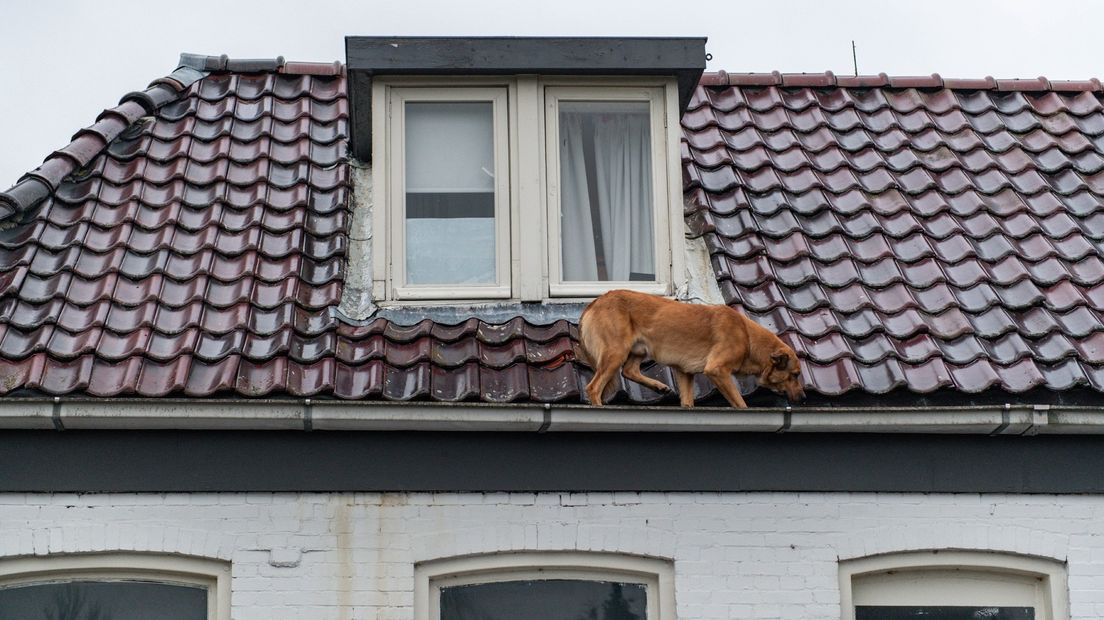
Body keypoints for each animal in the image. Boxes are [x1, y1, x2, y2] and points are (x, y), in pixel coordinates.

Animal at [578, 289, 803, 408]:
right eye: (794, 375)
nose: (803, 398)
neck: (747, 337)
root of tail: (596, 302)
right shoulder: (717, 370)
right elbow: (740, 403)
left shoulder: (685, 374)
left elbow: (687, 403)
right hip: (616, 352)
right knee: (594, 387)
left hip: (639, 350)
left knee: (629, 370)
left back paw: (659, 386)